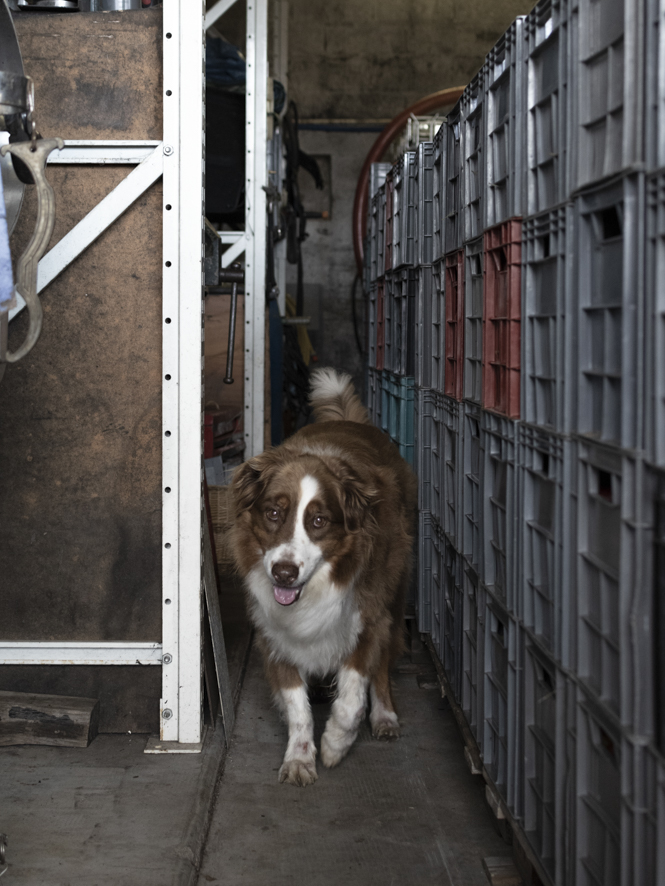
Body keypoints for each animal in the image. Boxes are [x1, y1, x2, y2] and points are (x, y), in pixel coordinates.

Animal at [228, 372, 416, 788]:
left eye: (318, 521)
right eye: (273, 513)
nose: (284, 573)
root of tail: (351, 422)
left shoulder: (367, 619)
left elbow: (352, 697)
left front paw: (334, 745)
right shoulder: (275, 635)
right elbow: (296, 704)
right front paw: (299, 757)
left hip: (394, 599)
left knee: (382, 668)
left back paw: (385, 716)